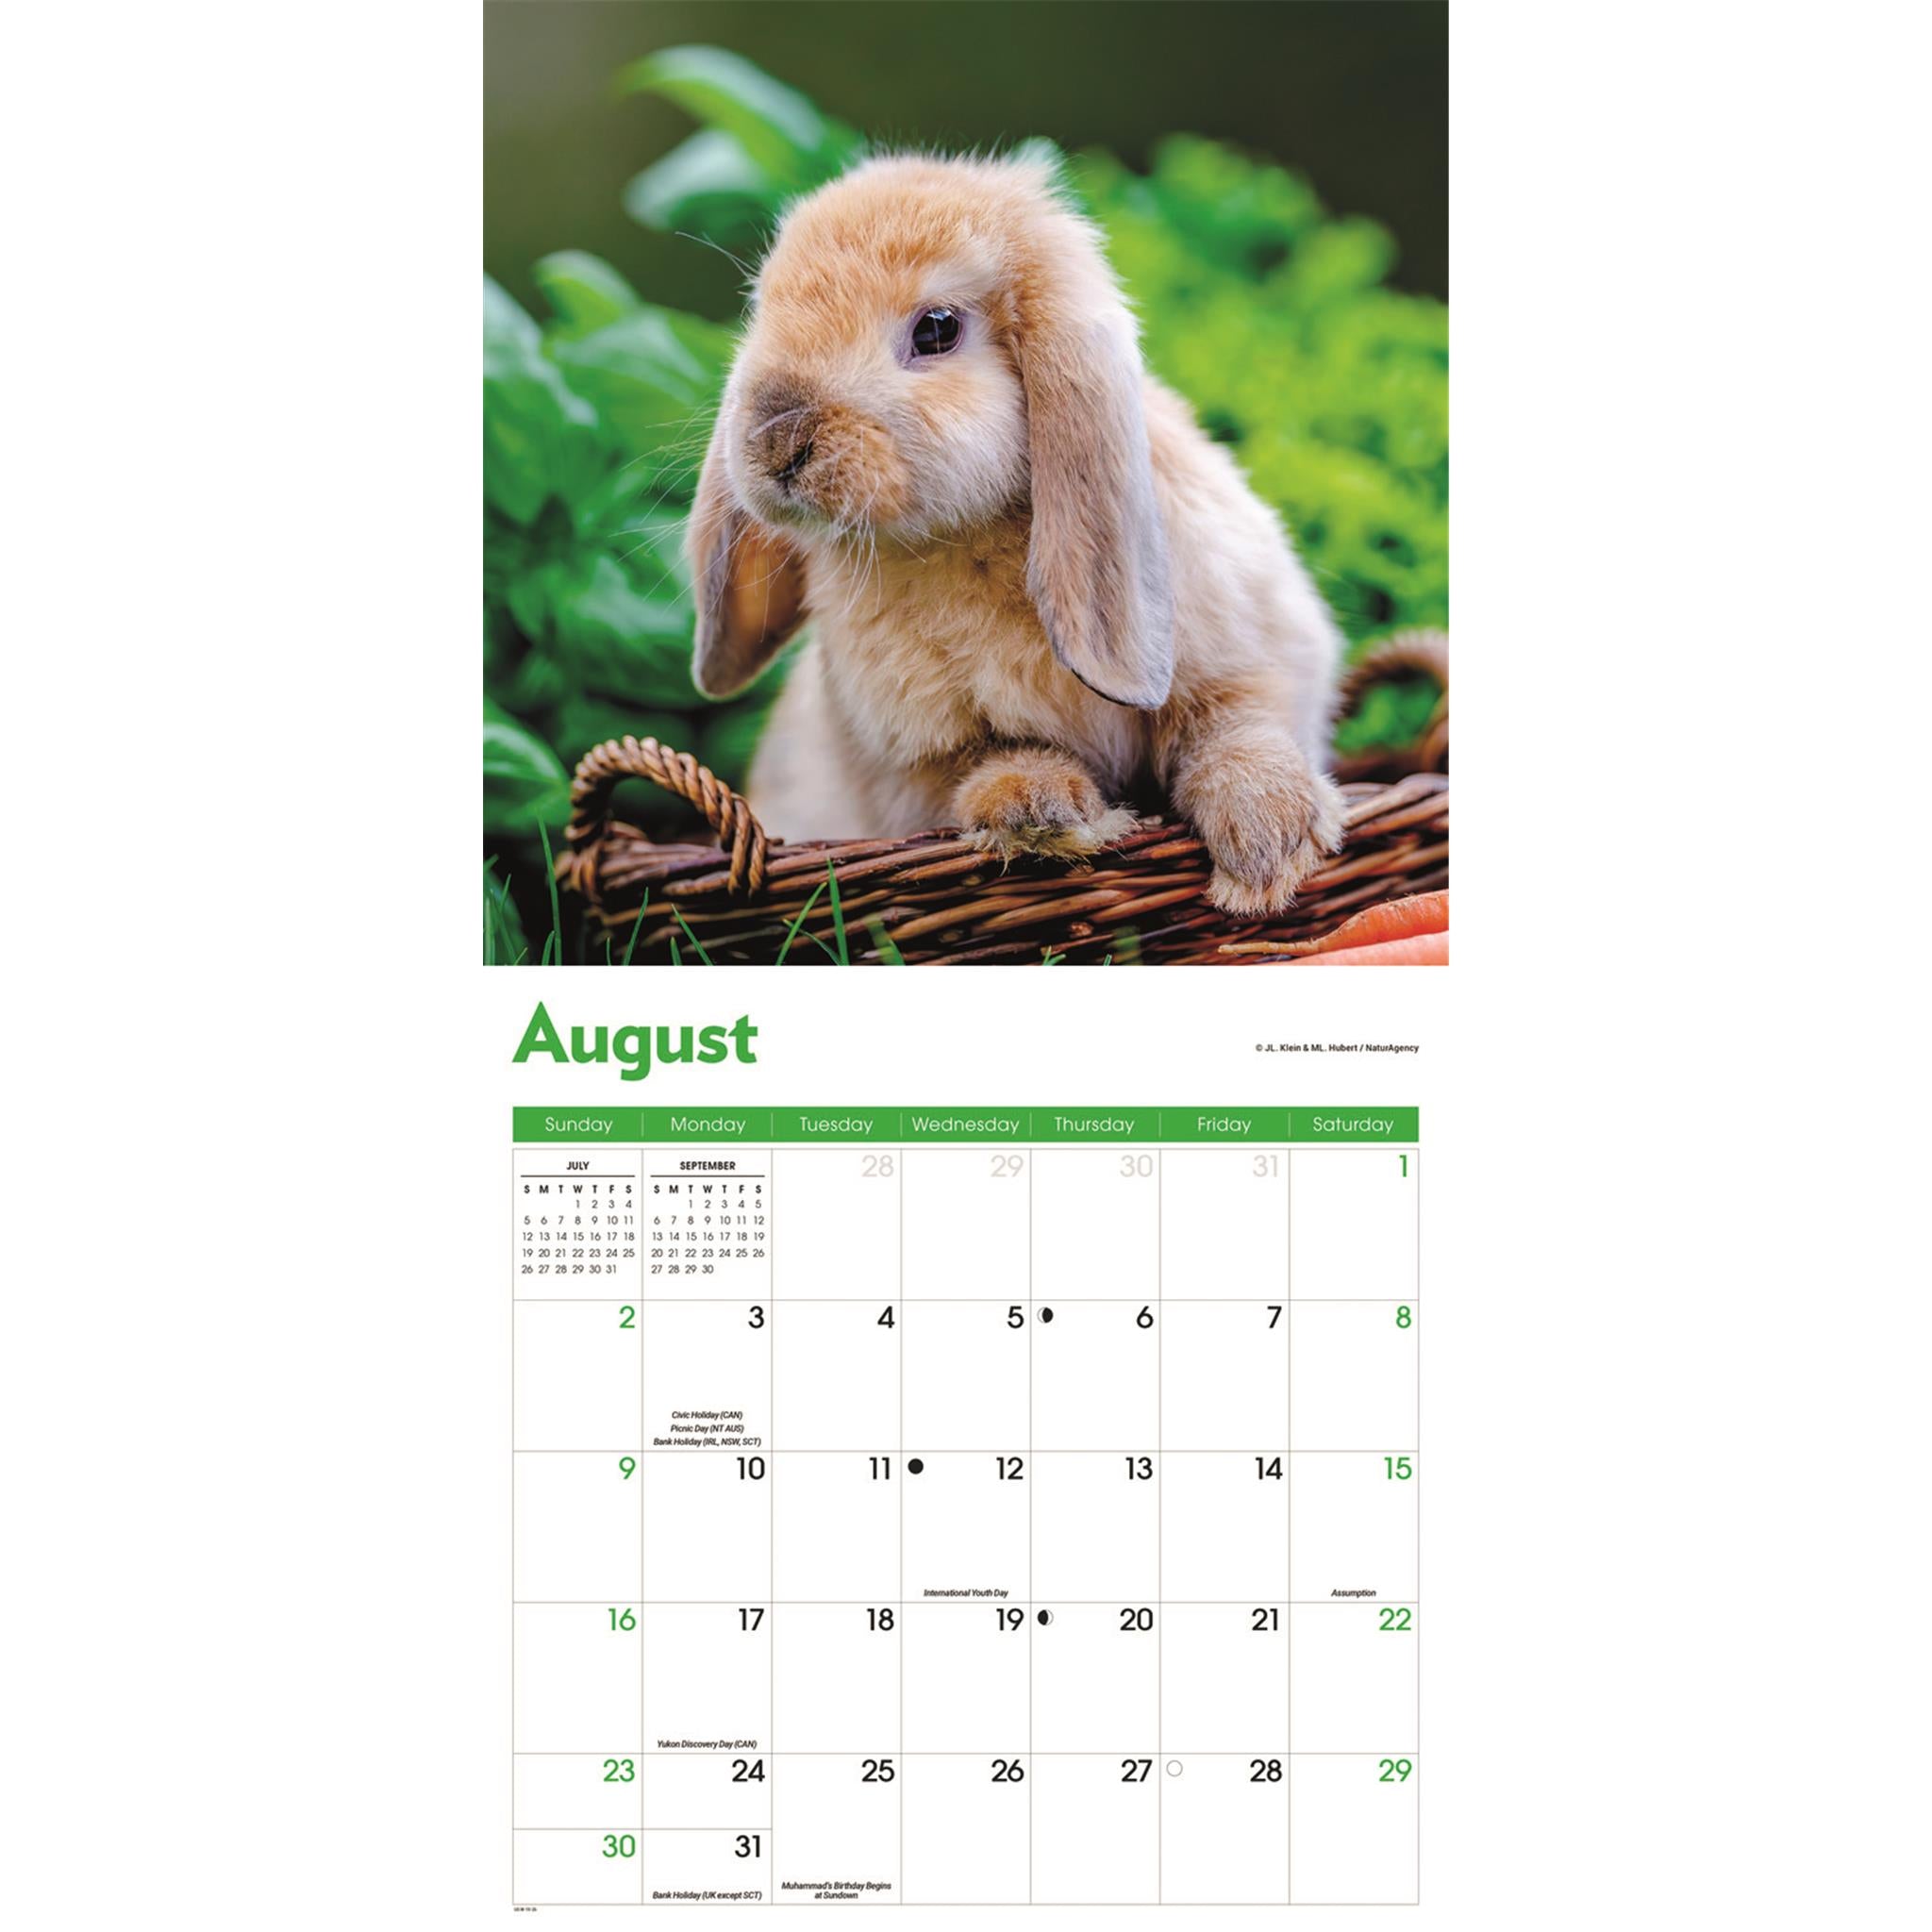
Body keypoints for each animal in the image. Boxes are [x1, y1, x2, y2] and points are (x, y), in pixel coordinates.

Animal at [687, 150, 1347, 915]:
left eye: (936, 329)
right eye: (761, 309)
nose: (775, 438)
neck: (961, 537)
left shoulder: (1255, 660)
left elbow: (1238, 727)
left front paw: (1266, 846)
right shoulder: (913, 757)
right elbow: (987, 762)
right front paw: (1043, 812)